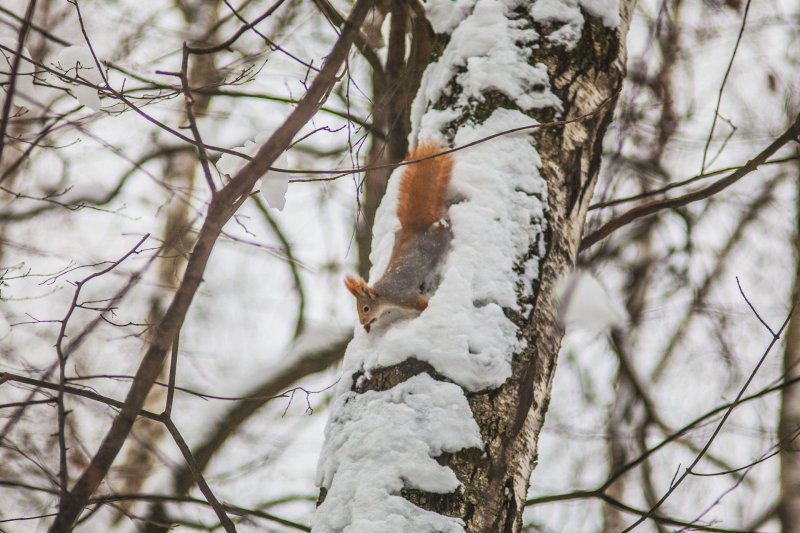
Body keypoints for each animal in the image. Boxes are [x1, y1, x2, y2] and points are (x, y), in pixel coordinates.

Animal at [346, 142, 454, 332]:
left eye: (365, 308)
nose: (363, 323)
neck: (382, 297)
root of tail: (414, 228)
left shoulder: (402, 297)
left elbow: (421, 304)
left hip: (436, 241)